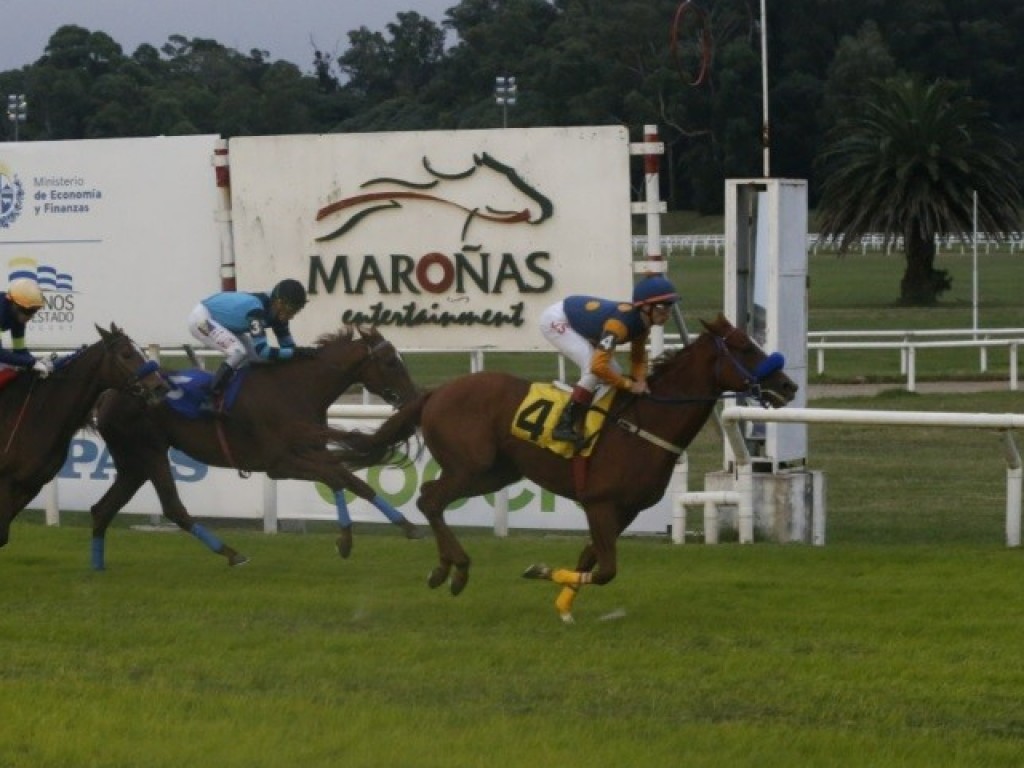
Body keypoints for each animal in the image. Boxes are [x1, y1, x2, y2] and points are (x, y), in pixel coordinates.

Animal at [0, 325, 167, 552]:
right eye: (126, 354)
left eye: (141, 351)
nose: (160, 386)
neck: (37, 412)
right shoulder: (5, 481)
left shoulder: (30, 485)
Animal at [89, 325, 419, 573]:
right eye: (391, 362)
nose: (413, 398)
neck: (296, 389)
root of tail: (108, 395)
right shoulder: (278, 464)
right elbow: (336, 478)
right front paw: (346, 540)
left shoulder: (311, 451)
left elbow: (352, 482)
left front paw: (405, 525)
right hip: (150, 452)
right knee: (172, 507)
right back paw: (232, 554)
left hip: (133, 464)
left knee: (102, 509)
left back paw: (98, 565)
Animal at [335, 315, 798, 622]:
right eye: (743, 347)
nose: (789, 385)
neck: (645, 423)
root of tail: (436, 392)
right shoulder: (600, 502)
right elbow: (606, 570)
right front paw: (539, 571)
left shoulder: (623, 510)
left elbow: (589, 559)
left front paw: (563, 604)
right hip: (471, 467)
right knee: (430, 499)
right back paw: (456, 569)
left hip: (497, 472)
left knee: (431, 497)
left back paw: (444, 568)